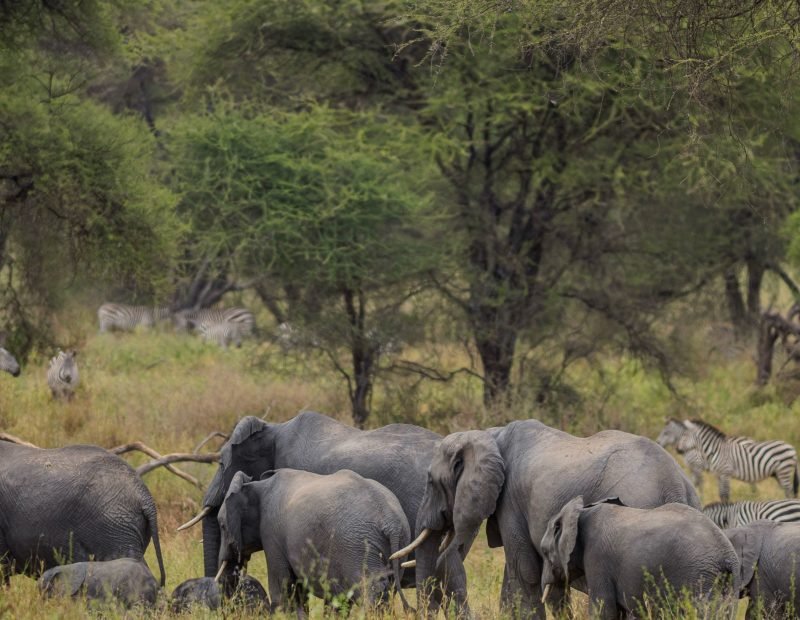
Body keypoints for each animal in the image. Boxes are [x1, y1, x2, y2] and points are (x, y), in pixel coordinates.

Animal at [217, 469, 412, 616]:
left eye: (222, 526)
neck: (257, 485)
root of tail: (391, 521)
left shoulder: (271, 532)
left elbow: (281, 587)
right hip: (396, 543)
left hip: (358, 547)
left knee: (370, 591)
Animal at [540, 497, 740, 619]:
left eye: (544, 551)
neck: (581, 511)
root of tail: (726, 554)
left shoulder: (597, 557)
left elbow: (603, 611)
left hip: (698, 575)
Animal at [657, 418, 799, 502]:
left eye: (666, 433)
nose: (678, 450)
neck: (715, 450)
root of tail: (792, 448)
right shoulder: (717, 475)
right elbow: (718, 493)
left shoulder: (720, 472)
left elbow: (721, 493)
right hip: (778, 474)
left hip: (784, 471)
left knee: (789, 491)